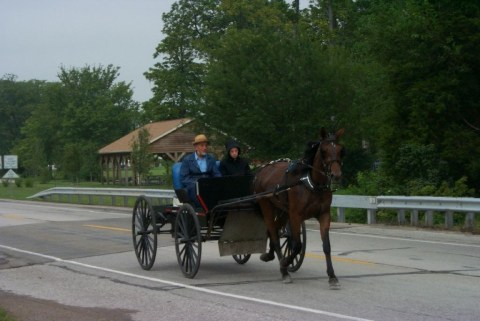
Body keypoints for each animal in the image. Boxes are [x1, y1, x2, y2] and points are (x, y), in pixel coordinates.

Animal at [251, 126, 344, 286]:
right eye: (324, 150)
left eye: (340, 150)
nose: (336, 175)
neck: (311, 183)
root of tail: (262, 169)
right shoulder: (295, 215)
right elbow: (297, 245)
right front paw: (285, 263)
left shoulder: (324, 214)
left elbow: (326, 246)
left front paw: (332, 276)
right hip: (266, 206)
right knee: (274, 233)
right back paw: (283, 270)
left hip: (282, 210)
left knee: (274, 230)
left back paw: (271, 256)